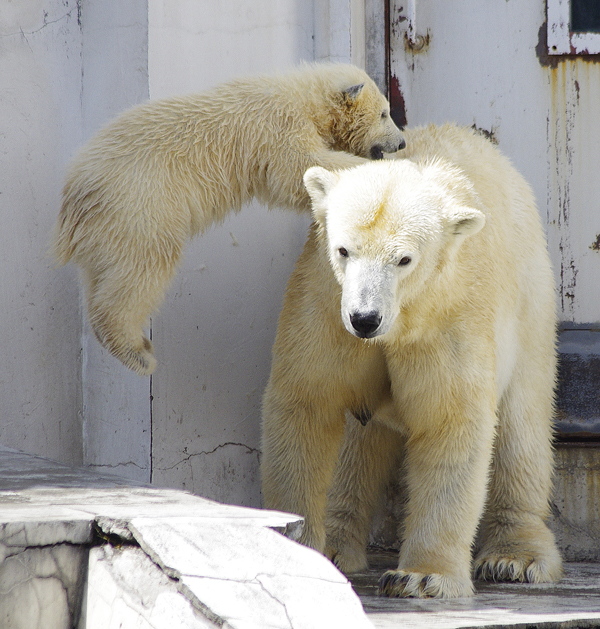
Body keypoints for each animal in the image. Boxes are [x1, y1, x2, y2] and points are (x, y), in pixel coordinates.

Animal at [56, 63, 404, 376]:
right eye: (384, 113)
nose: (400, 142)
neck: (303, 96)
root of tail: (76, 188)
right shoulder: (279, 127)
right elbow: (299, 168)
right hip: (141, 205)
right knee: (142, 267)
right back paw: (136, 353)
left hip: (106, 227)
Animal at [262, 124, 564, 600]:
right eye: (344, 250)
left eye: (404, 259)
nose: (365, 318)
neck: (401, 321)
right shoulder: (325, 307)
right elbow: (308, 404)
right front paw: (298, 548)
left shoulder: (447, 319)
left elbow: (449, 421)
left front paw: (422, 576)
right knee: (357, 441)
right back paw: (336, 546)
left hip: (530, 304)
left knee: (522, 426)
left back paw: (516, 558)